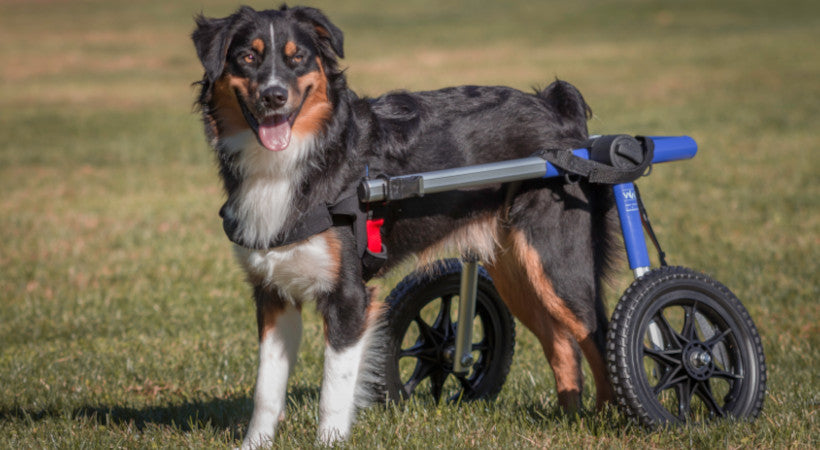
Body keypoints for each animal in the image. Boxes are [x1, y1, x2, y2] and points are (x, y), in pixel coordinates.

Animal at [192, 4, 616, 446]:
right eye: (248, 57)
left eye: (298, 58)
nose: (274, 96)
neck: (300, 158)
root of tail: (555, 108)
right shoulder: (274, 293)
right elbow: (266, 390)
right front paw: (254, 444)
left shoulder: (349, 297)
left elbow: (333, 391)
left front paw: (329, 442)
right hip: (516, 274)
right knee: (563, 345)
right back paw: (569, 419)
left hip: (558, 263)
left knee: (597, 336)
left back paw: (611, 419)